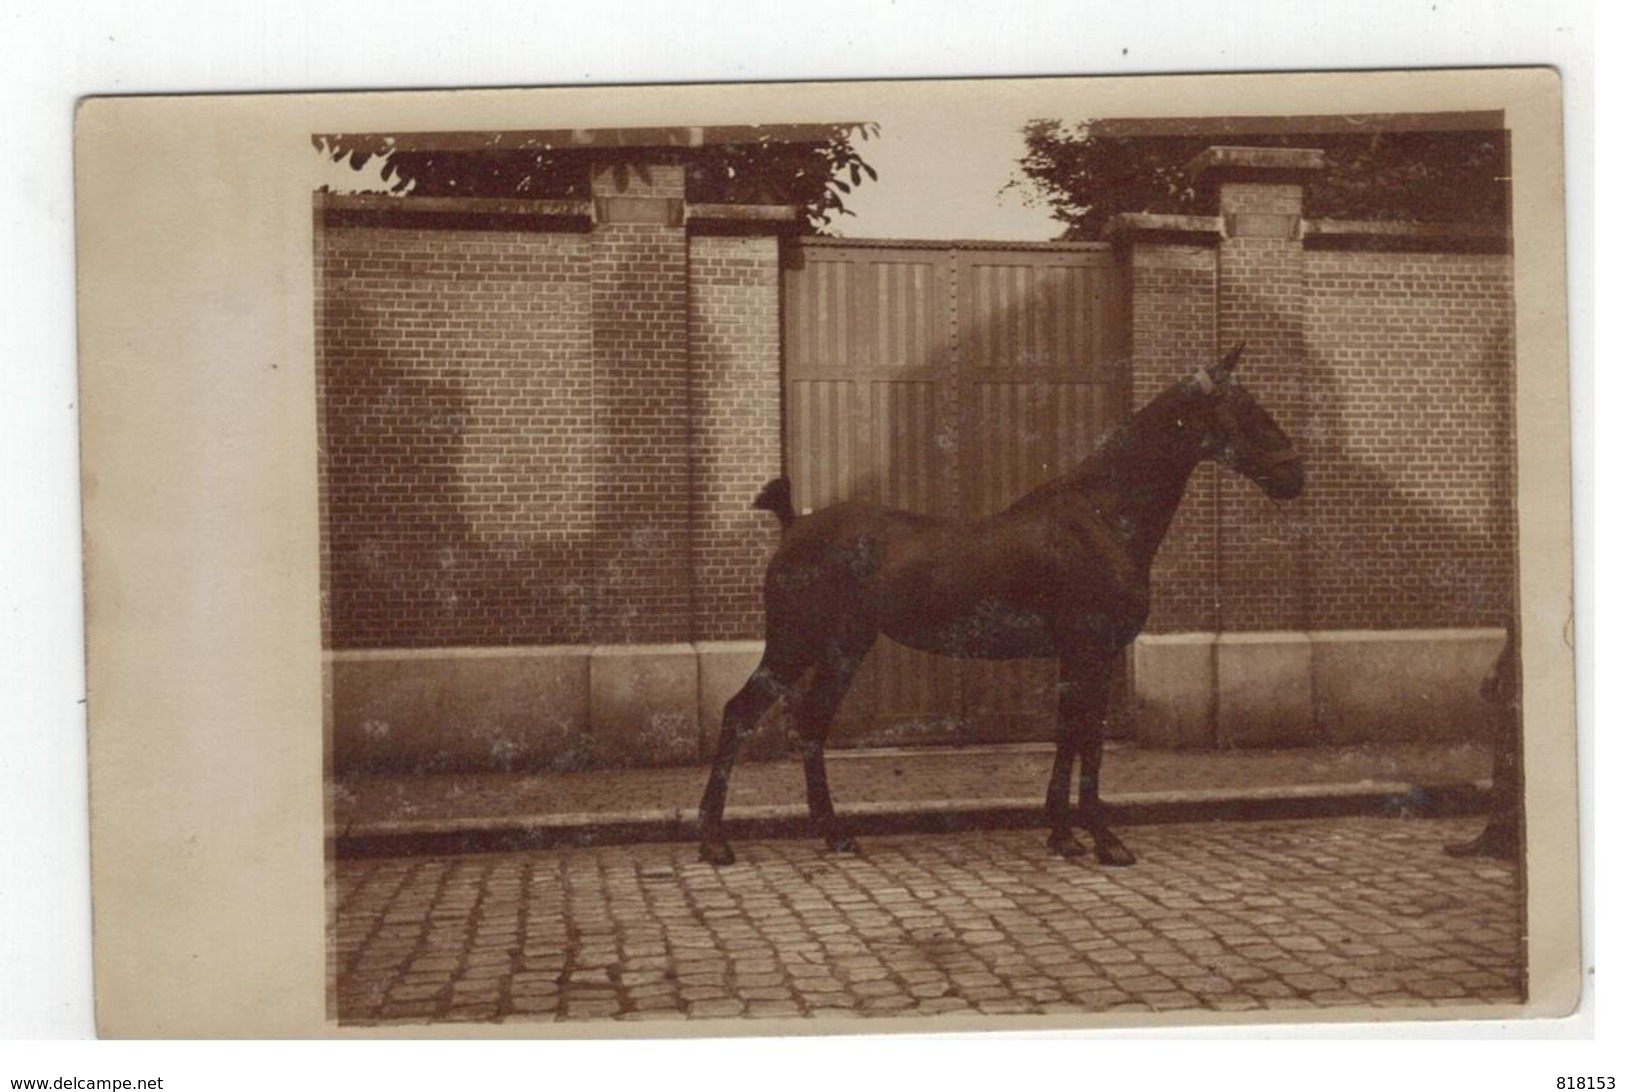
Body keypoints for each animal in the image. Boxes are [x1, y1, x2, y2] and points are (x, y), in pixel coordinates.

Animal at [698, 346, 1306, 864]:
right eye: (1248, 408)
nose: (1294, 475)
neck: (1104, 517)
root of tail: (793, 525)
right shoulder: (1095, 650)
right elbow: (1089, 739)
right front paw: (1105, 840)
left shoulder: (1077, 655)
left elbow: (1068, 734)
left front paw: (1062, 835)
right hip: (794, 645)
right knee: (739, 714)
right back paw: (715, 843)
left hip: (842, 649)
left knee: (811, 723)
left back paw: (835, 834)